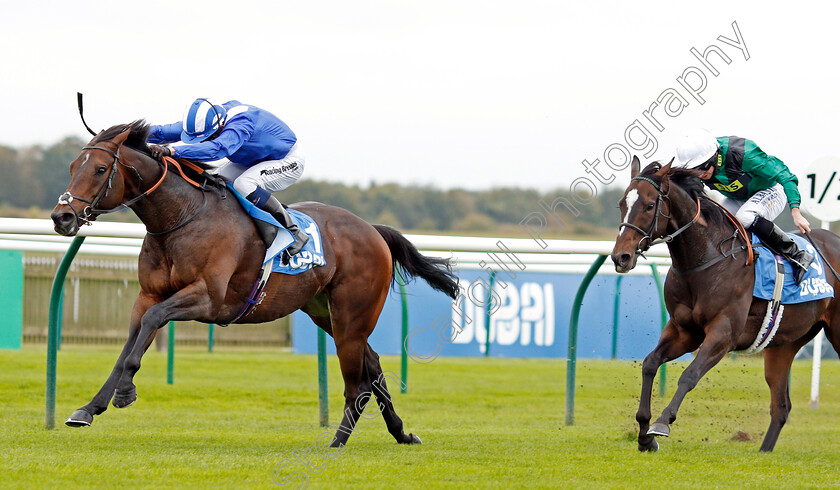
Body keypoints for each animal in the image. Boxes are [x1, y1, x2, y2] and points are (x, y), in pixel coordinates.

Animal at [50, 120, 460, 446]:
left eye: (100, 169)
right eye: (70, 166)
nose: (62, 217)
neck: (182, 217)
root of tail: (372, 230)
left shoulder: (207, 299)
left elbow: (151, 324)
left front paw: (124, 392)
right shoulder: (148, 294)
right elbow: (130, 343)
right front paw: (89, 408)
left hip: (352, 315)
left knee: (357, 381)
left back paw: (337, 442)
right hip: (324, 312)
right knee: (372, 366)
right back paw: (401, 433)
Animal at [612, 157, 840, 452]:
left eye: (650, 205)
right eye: (621, 204)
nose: (621, 257)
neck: (705, 260)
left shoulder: (723, 333)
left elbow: (689, 375)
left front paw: (661, 424)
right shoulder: (684, 331)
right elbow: (650, 363)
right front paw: (644, 436)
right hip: (784, 344)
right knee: (781, 406)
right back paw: (763, 451)